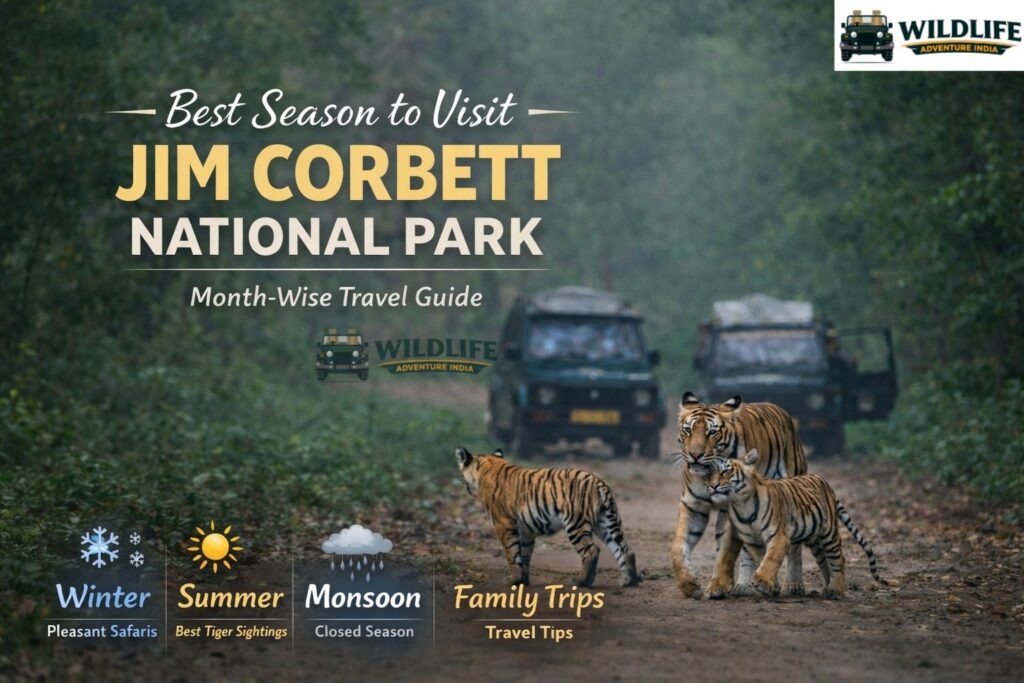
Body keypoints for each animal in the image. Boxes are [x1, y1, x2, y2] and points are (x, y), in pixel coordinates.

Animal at [456, 446, 642, 588]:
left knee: (592, 551)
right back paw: (628, 581)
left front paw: (513, 580)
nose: (464, 486)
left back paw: (581, 581)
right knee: (625, 549)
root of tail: (598, 482)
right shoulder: (525, 530)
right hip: (606, 522)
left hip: (576, 523)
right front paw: (523, 580)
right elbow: (524, 554)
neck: (489, 465)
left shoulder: (503, 524)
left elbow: (511, 552)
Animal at [670, 392, 808, 598]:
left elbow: (725, 551)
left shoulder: (731, 508)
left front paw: (718, 585)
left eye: (712, 432)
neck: (708, 472)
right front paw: (689, 584)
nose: (695, 455)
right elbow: (679, 545)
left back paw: (793, 585)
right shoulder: (693, 505)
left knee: (794, 547)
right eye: (688, 430)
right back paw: (744, 585)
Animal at [704, 450, 883, 599]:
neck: (741, 505)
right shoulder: (752, 541)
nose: (712, 486)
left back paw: (836, 590)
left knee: (839, 559)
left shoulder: (779, 535)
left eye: (726, 471)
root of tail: (824, 481)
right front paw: (772, 586)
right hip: (815, 540)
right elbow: (762, 558)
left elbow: (771, 558)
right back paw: (828, 587)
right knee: (824, 561)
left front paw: (762, 582)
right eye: (708, 474)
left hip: (829, 534)